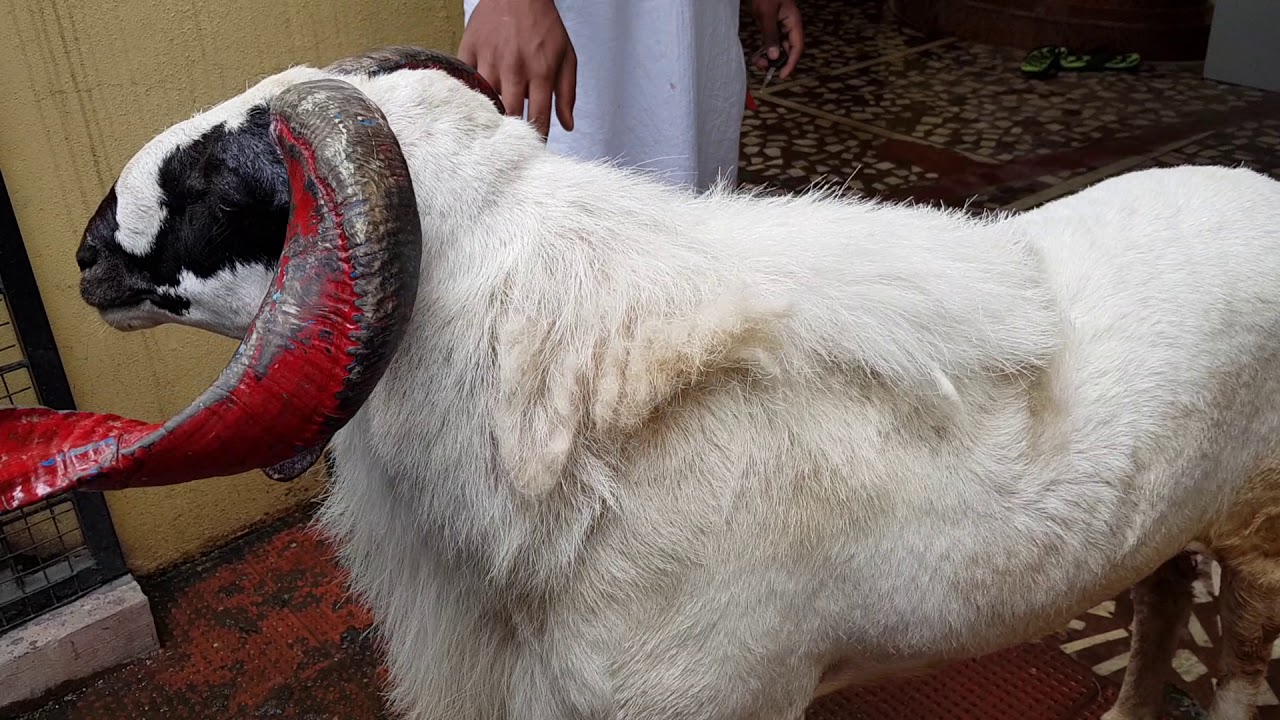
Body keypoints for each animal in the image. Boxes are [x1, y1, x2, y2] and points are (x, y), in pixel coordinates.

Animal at [53, 46, 1280, 719]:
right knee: (1158, 601)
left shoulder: (724, 698)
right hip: (1167, 522)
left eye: (221, 186)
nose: (85, 253)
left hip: (1260, 539)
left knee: (1229, 674)